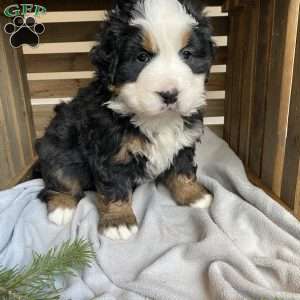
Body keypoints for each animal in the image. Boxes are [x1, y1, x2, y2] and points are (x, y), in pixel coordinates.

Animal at [36, 0, 216, 239]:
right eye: (142, 57)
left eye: (187, 54)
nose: (170, 94)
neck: (158, 120)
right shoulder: (111, 153)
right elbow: (115, 187)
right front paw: (119, 221)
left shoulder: (184, 141)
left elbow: (183, 170)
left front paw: (193, 194)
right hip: (57, 144)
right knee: (60, 177)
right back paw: (62, 207)